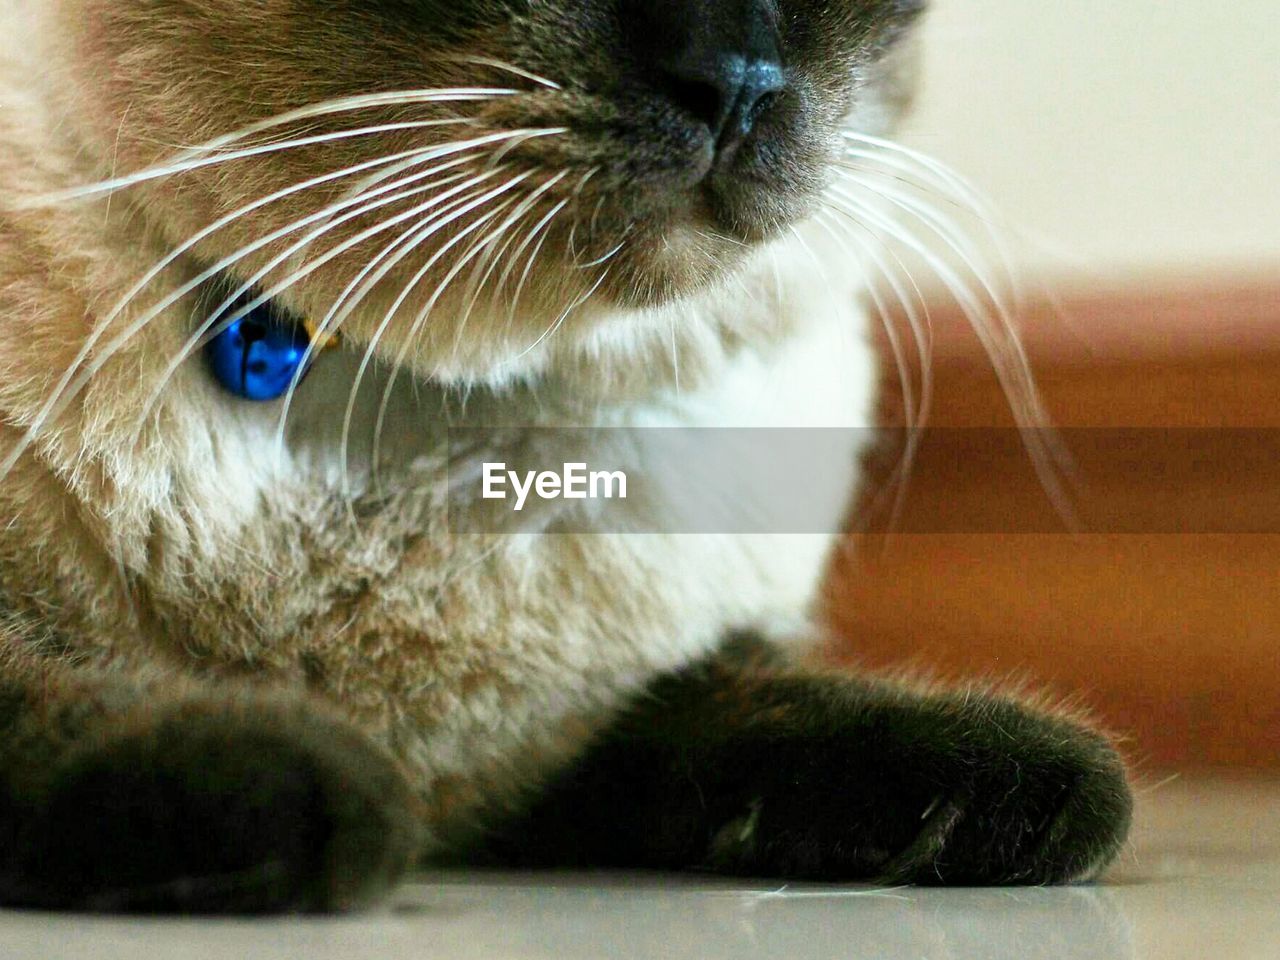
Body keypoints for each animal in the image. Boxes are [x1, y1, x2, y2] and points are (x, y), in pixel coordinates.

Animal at [0, 0, 1131, 916]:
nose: (736, 78)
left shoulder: (568, 735)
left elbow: (755, 701)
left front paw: (1025, 787)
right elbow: (56, 698)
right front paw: (301, 786)